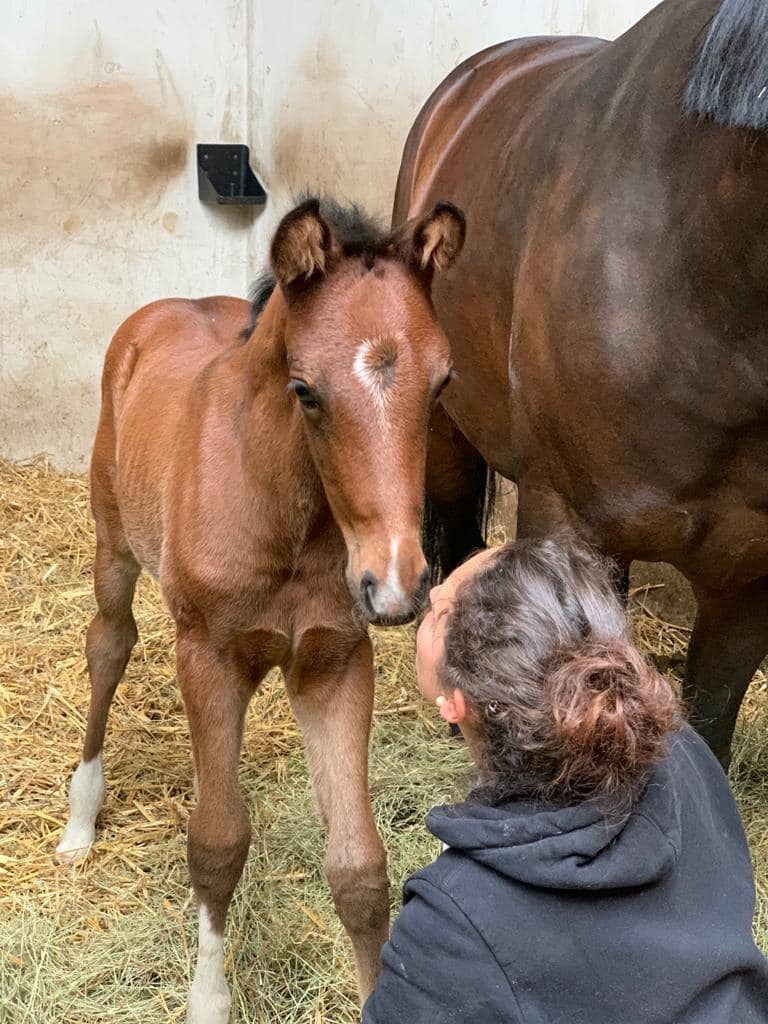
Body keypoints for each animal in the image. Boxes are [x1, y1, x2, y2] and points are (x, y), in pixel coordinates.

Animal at [55, 195, 466, 1022]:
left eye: (441, 383)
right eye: (304, 389)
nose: (396, 584)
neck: (292, 522)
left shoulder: (334, 665)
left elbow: (359, 867)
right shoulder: (209, 656)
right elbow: (217, 843)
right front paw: (208, 1001)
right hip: (113, 543)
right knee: (108, 645)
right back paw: (80, 823)